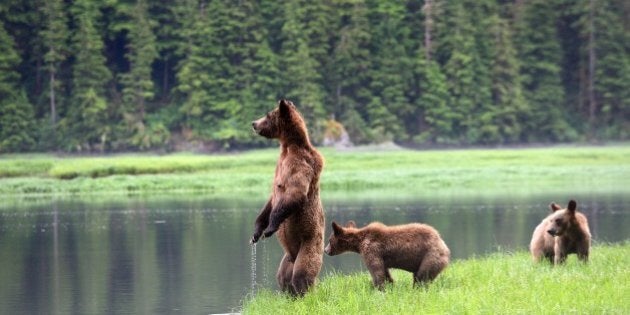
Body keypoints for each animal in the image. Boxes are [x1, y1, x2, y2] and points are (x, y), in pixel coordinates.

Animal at [249, 100, 326, 298]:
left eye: (268, 115)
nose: (253, 123)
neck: (288, 146)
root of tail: (293, 254)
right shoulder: (279, 166)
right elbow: (270, 201)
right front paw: (256, 233)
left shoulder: (299, 163)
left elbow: (295, 194)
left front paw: (270, 228)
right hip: (287, 259)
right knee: (283, 277)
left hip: (310, 243)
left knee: (302, 274)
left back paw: (306, 293)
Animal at [324, 221, 452, 290]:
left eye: (329, 240)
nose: (325, 250)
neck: (359, 243)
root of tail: (444, 244)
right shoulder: (380, 257)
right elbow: (385, 273)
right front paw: (390, 286)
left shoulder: (372, 249)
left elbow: (377, 272)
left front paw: (378, 289)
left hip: (431, 255)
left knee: (422, 277)